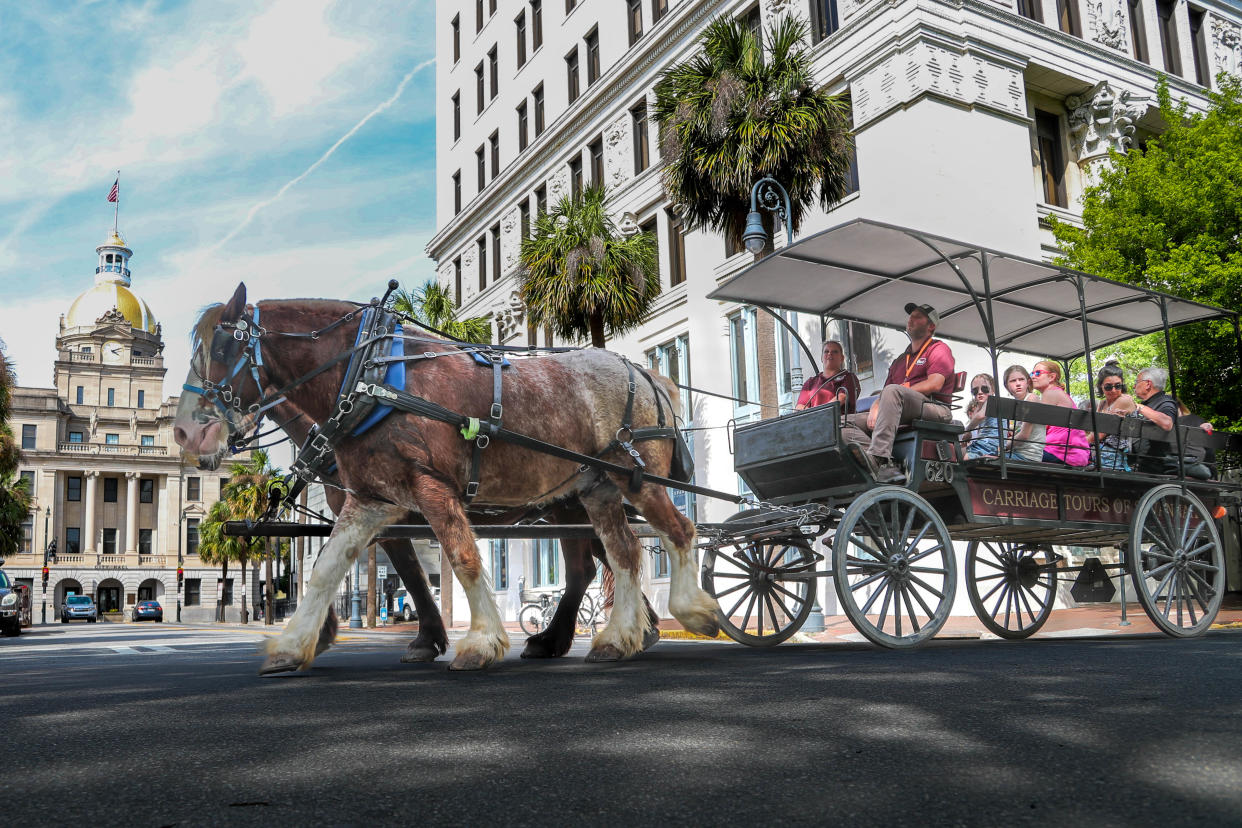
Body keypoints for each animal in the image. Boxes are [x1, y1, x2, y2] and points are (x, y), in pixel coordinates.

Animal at [173, 286, 720, 675]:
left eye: (222, 347)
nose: (184, 432)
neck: (369, 376)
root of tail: (646, 374)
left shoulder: (429, 487)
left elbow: (460, 557)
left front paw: (477, 642)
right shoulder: (373, 499)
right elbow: (329, 567)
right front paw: (293, 643)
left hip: (634, 480)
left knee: (676, 532)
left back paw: (689, 613)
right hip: (594, 490)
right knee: (621, 553)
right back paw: (616, 637)